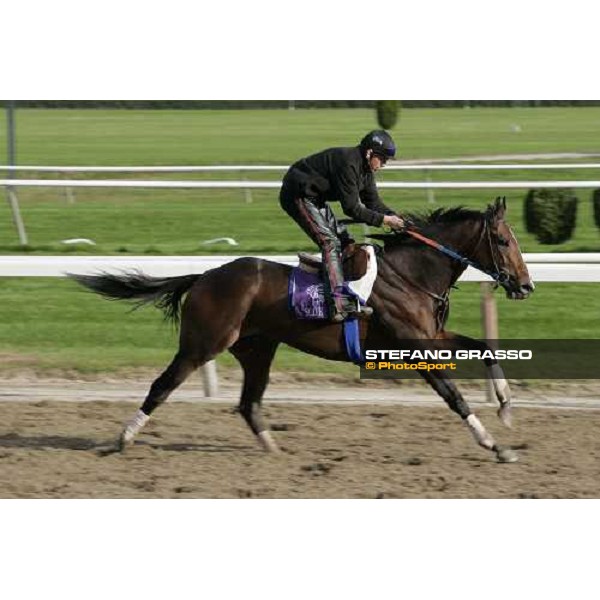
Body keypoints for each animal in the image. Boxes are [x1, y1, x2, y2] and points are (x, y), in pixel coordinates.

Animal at [70, 197, 536, 464]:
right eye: (503, 240)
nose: (526, 285)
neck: (412, 274)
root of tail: (204, 276)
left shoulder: (432, 337)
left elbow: (485, 347)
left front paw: (507, 408)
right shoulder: (413, 347)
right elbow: (453, 396)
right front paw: (493, 444)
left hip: (257, 349)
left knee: (249, 403)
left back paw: (273, 448)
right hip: (203, 344)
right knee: (162, 385)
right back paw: (122, 439)